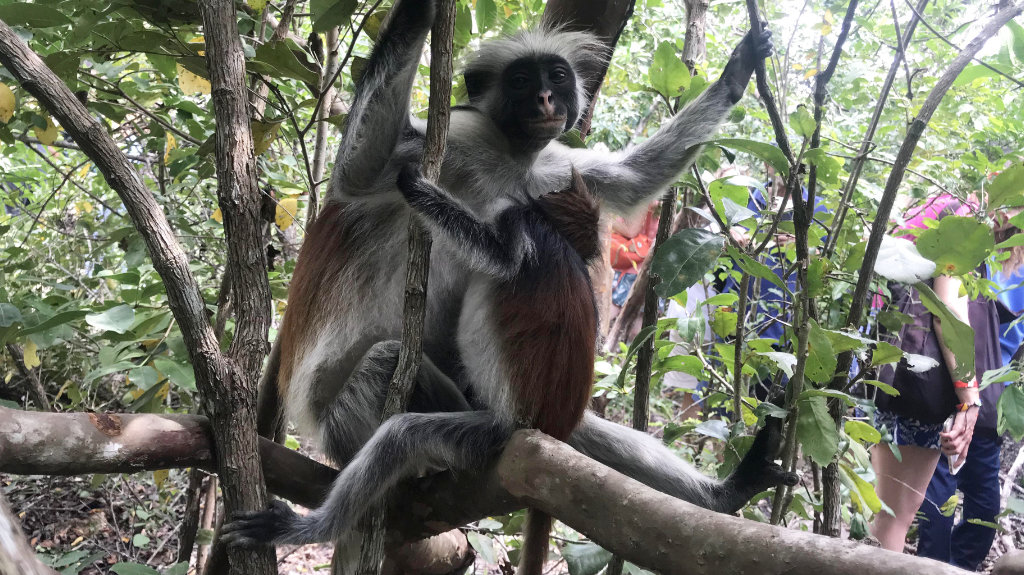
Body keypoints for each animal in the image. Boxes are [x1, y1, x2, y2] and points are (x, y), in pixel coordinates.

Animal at [224, 0, 795, 563]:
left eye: (556, 76)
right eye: (522, 81)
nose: (546, 98)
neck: (511, 156)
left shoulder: (555, 169)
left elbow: (632, 179)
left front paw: (737, 73)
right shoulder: (459, 138)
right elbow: (359, 172)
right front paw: (420, 8)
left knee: (568, 428)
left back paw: (726, 493)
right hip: (345, 425)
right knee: (388, 367)